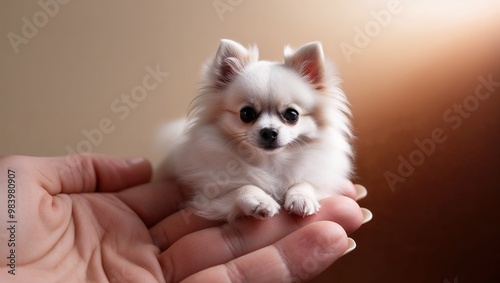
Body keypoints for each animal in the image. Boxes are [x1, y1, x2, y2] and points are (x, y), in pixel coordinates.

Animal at [163, 38, 352, 223]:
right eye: (246, 113)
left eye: (292, 114)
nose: (269, 131)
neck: (270, 161)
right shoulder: (208, 199)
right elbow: (243, 187)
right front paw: (259, 200)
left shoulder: (323, 183)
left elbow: (305, 182)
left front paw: (301, 197)